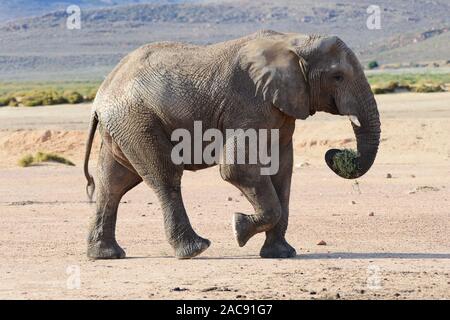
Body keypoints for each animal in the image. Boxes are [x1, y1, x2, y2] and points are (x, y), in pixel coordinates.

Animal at [83, 29, 380, 260]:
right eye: (338, 76)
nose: (335, 153)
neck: (294, 42)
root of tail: (100, 96)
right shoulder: (249, 104)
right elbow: (237, 168)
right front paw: (238, 228)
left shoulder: (282, 108)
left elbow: (282, 170)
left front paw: (281, 254)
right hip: (138, 121)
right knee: (165, 177)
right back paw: (195, 249)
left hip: (122, 127)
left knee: (113, 184)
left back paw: (106, 255)